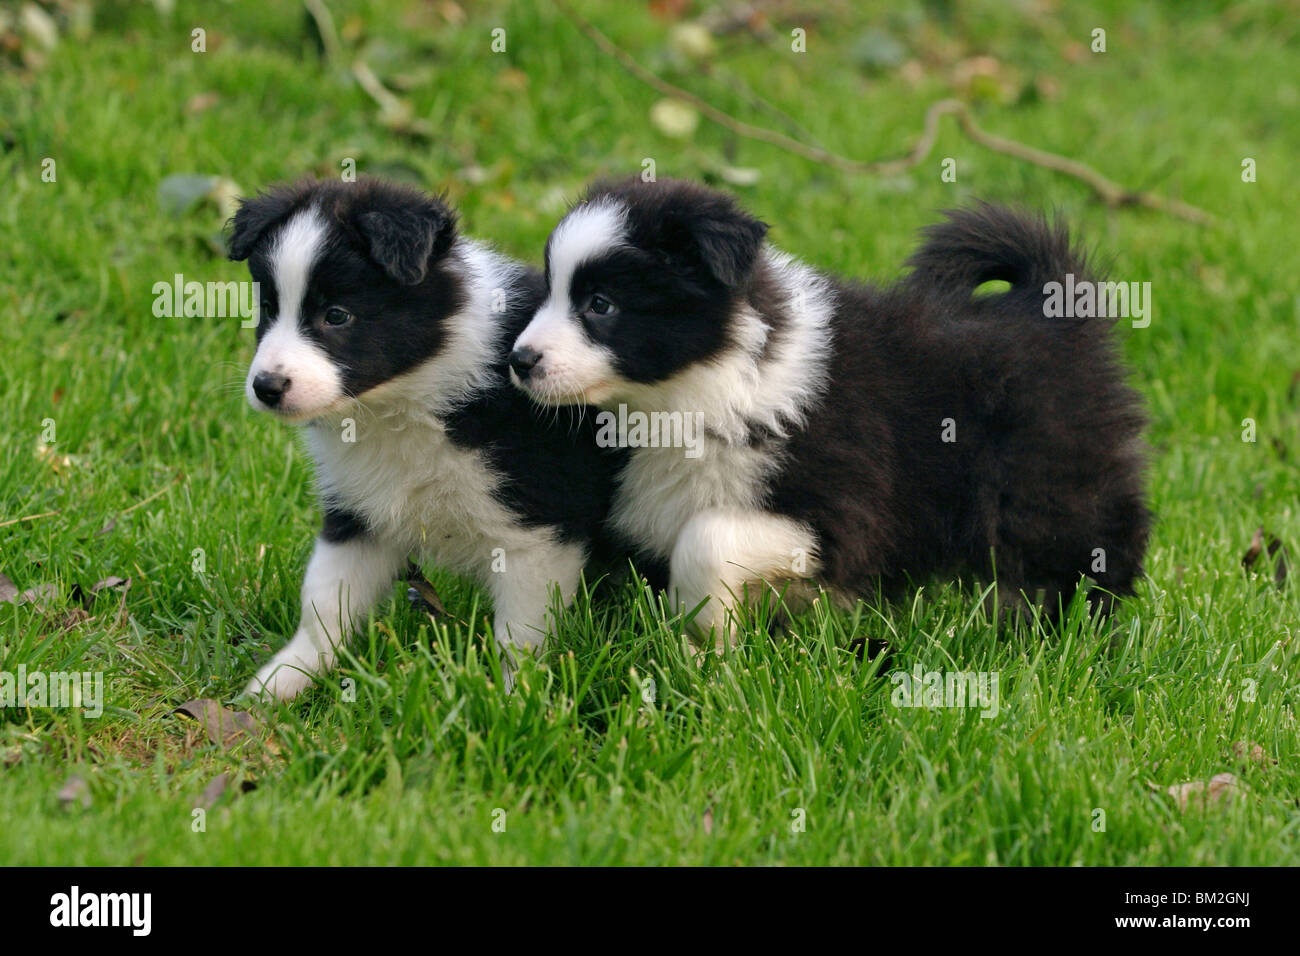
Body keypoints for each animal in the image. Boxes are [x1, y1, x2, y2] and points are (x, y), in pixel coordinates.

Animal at [228, 178, 618, 697]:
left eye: (337, 315)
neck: (403, 401)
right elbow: (325, 600)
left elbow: (521, 634)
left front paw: (514, 699)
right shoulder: (360, 510)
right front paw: (279, 683)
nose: (266, 387)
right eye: (269, 309)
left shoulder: (538, 526)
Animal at [506, 175, 1149, 647]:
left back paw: (1084, 636)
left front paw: (707, 635)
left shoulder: (840, 510)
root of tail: (1048, 303)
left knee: (1096, 543)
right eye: (551, 293)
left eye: (601, 304)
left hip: (1048, 480)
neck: (690, 392)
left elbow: (707, 536)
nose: (519, 359)